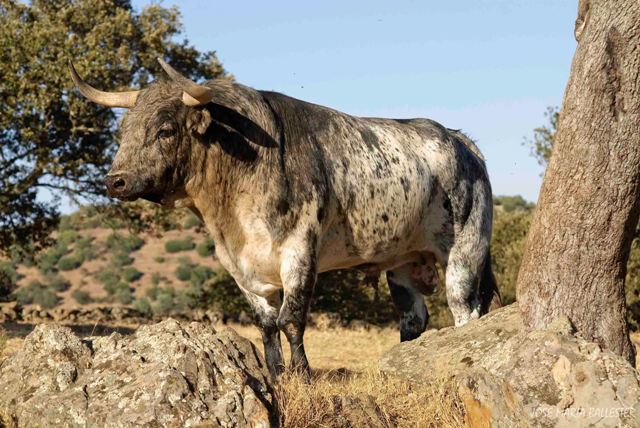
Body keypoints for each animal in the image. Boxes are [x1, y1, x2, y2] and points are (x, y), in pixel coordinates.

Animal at [70, 60, 500, 378]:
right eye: (123, 131)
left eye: (165, 130)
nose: (116, 180)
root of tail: (461, 141)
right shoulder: (243, 269)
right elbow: (266, 324)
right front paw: (277, 375)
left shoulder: (299, 253)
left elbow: (291, 319)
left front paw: (303, 374)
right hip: (404, 263)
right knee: (413, 319)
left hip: (465, 252)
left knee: (466, 312)